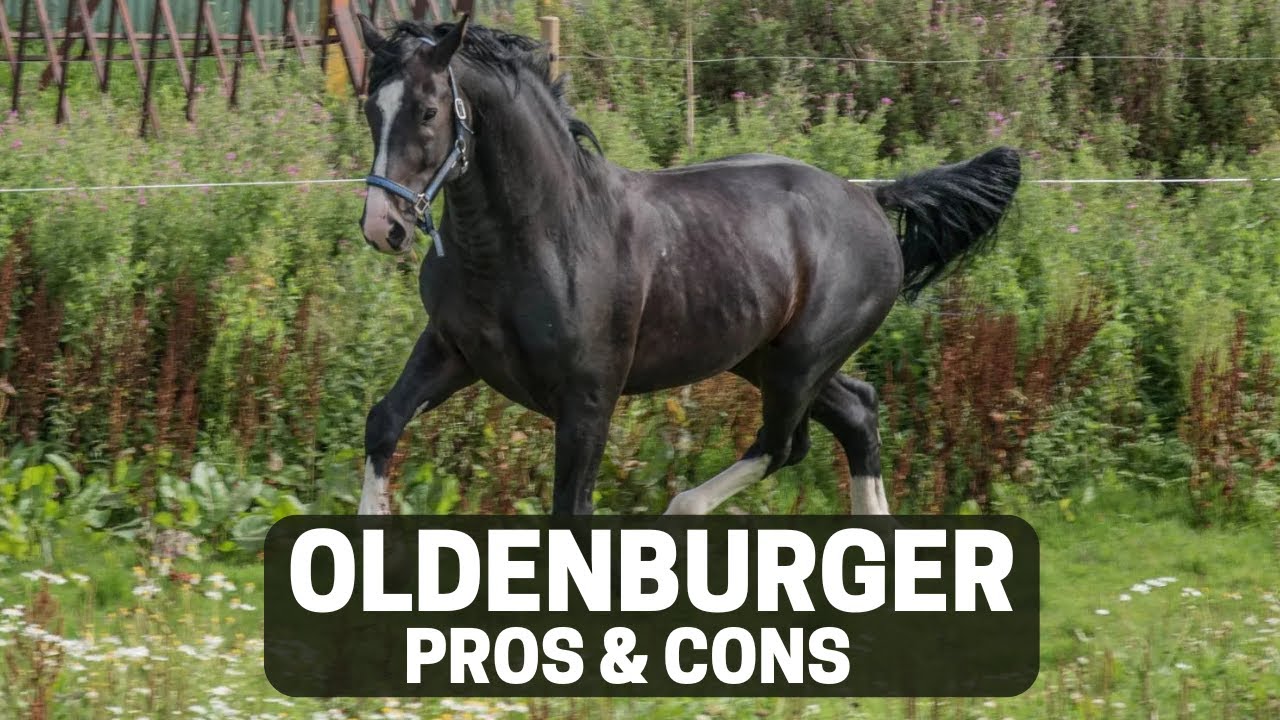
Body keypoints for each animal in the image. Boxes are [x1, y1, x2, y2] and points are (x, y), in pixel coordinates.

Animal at [354, 15, 1021, 517]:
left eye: (429, 110)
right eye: (371, 110)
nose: (384, 227)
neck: (535, 239)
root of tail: (873, 197)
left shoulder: (588, 399)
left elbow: (571, 510)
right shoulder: (453, 351)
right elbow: (383, 423)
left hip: (801, 360)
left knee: (784, 444)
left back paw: (684, 509)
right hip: (762, 357)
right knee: (857, 413)